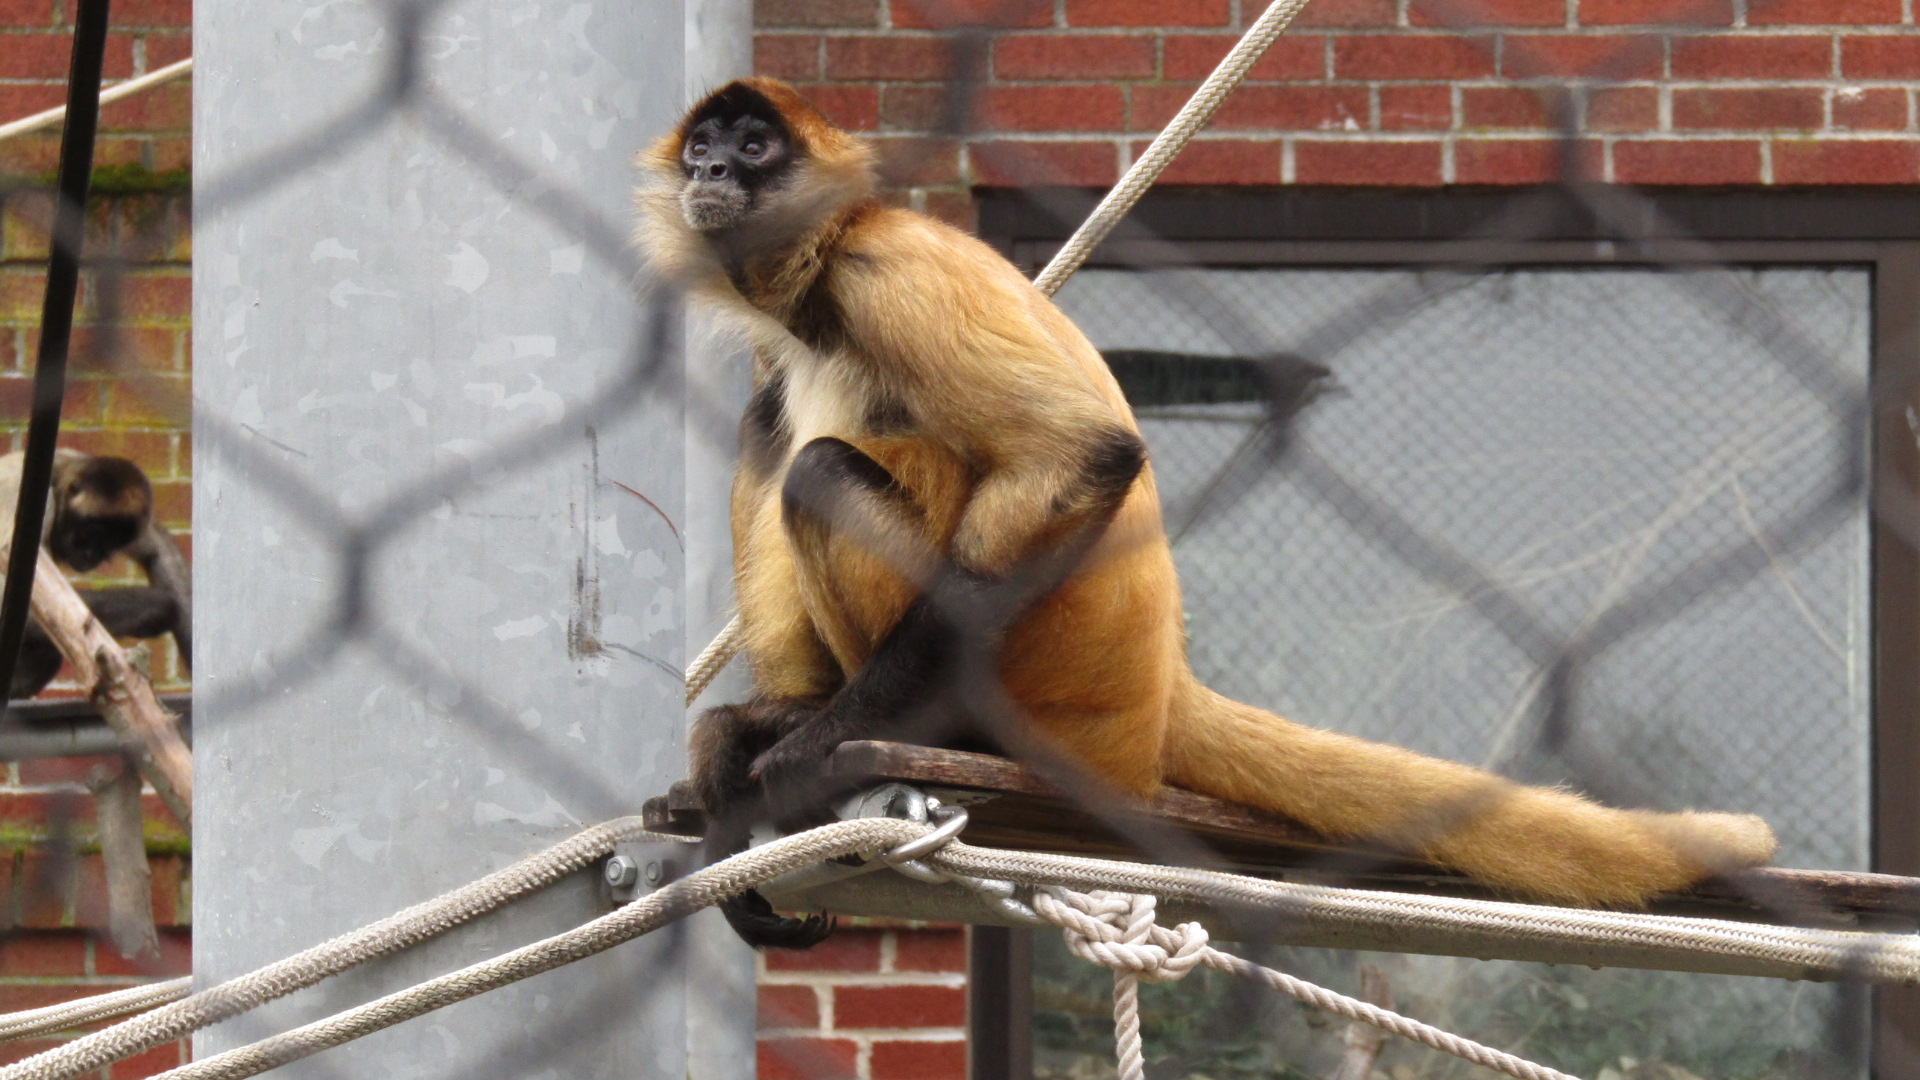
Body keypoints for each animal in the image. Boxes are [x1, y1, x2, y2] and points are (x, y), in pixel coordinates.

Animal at [0, 448, 192, 698]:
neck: (57, 478)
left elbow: (160, 551)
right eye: (92, 532)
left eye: (113, 542)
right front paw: (161, 607)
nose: (95, 555)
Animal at [637, 79, 1777, 947]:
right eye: (702, 146)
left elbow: (1085, 453)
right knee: (772, 425)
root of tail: (1160, 688)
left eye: (753, 147)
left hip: (1031, 683)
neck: (828, 264)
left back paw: (891, 724)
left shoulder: (890, 270)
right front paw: (762, 733)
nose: (711, 174)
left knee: (824, 466)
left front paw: (821, 741)